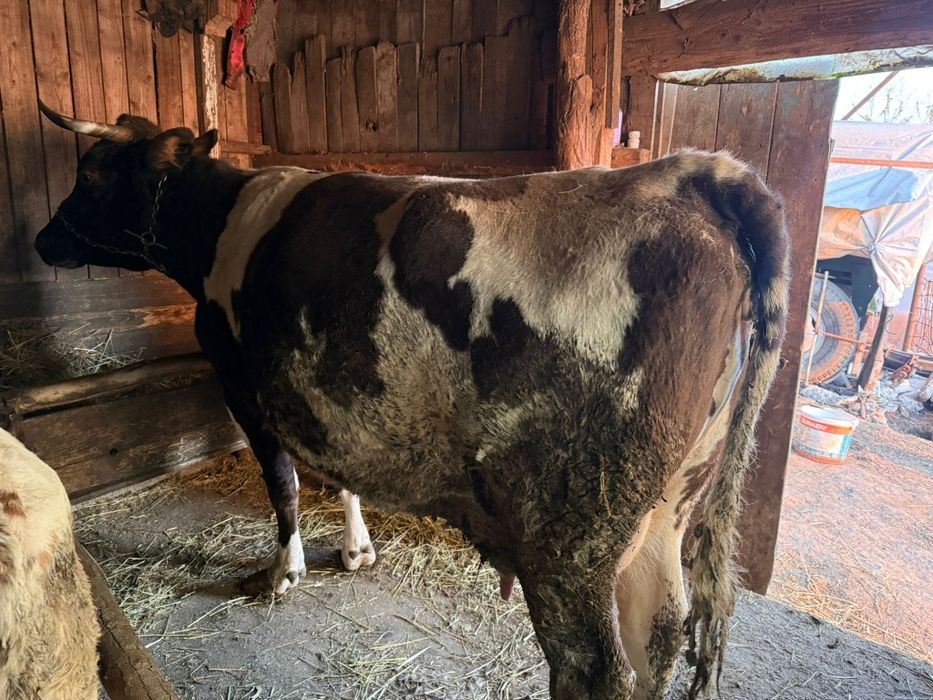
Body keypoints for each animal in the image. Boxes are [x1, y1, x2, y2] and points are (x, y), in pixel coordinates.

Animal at [33, 103, 789, 700]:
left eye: (89, 176)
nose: (42, 239)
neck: (225, 227)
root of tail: (691, 174)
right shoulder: (325, 392)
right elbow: (341, 472)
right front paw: (357, 550)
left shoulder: (245, 390)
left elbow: (283, 486)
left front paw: (285, 572)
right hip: (670, 505)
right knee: (659, 638)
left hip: (572, 531)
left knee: (593, 668)